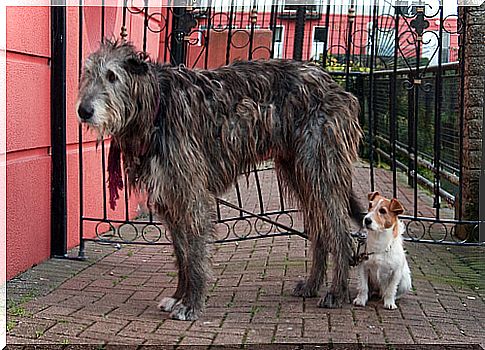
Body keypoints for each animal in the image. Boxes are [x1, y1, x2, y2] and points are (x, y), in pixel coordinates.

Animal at [77, 40, 362, 320]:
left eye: (112, 76)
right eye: (87, 74)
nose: (83, 111)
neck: (156, 105)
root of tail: (336, 86)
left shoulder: (190, 193)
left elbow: (194, 254)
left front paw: (191, 304)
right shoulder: (171, 196)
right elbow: (182, 253)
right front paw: (178, 297)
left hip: (320, 168)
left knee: (340, 232)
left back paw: (336, 292)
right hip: (299, 172)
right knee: (320, 230)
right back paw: (312, 285)